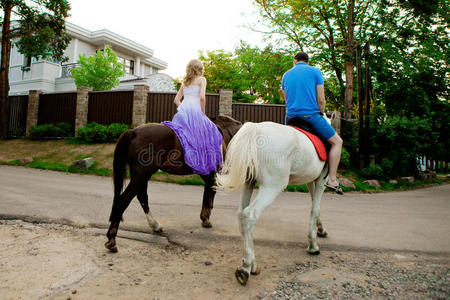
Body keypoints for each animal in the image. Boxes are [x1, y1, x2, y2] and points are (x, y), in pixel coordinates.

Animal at [105, 116, 241, 252]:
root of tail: (134, 132)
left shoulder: (207, 174)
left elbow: (207, 195)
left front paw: (204, 218)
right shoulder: (213, 174)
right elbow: (210, 196)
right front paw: (206, 219)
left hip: (141, 176)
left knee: (142, 197)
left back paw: (155, 225)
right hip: (141, 176)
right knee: (124, 200)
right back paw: (112, 239)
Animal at [214, 115, 334, 286]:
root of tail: (256, 129)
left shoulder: (312, 181)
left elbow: (315, 207)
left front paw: (321, 229)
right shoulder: (321, 180)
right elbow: (315, 208)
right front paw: (313, 245)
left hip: (249, 183)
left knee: (241, 215)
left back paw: (251, 264)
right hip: (272, 187)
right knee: (250, 215)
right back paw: (246, 267)